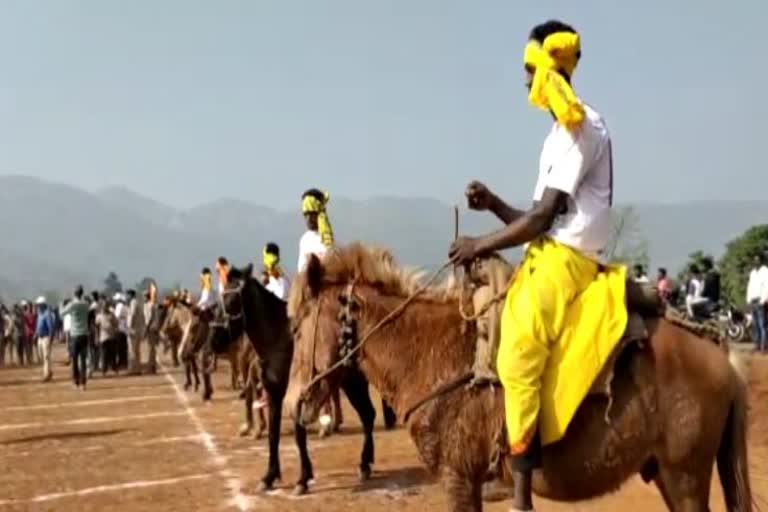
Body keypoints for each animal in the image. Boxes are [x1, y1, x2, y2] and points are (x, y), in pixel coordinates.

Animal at [284, 245, 752, 512]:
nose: (293, 404)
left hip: (685, 475)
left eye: (297, 326)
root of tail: (723, 359)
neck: (430, 353)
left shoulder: (457, 479)